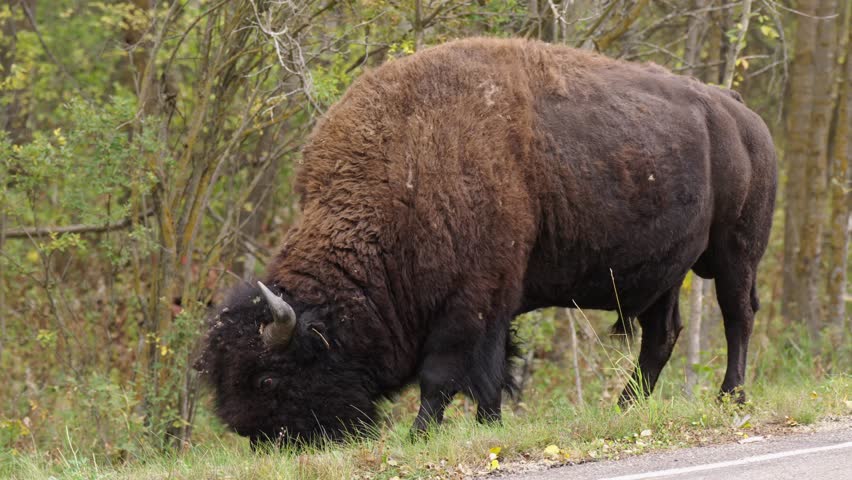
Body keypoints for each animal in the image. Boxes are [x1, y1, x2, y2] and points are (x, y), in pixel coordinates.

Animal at [196, 37, 777, 445]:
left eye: (268, 380)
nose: (264, 442)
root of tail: (740, 110)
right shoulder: (498, 301)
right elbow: (494, 371)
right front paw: (489, 425)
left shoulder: (469, 302)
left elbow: (445, 375)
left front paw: (419, 436)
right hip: (663, 274)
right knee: (662, 335)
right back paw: (625, 408)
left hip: (735, 253)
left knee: (738, 316)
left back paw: (731, 398)